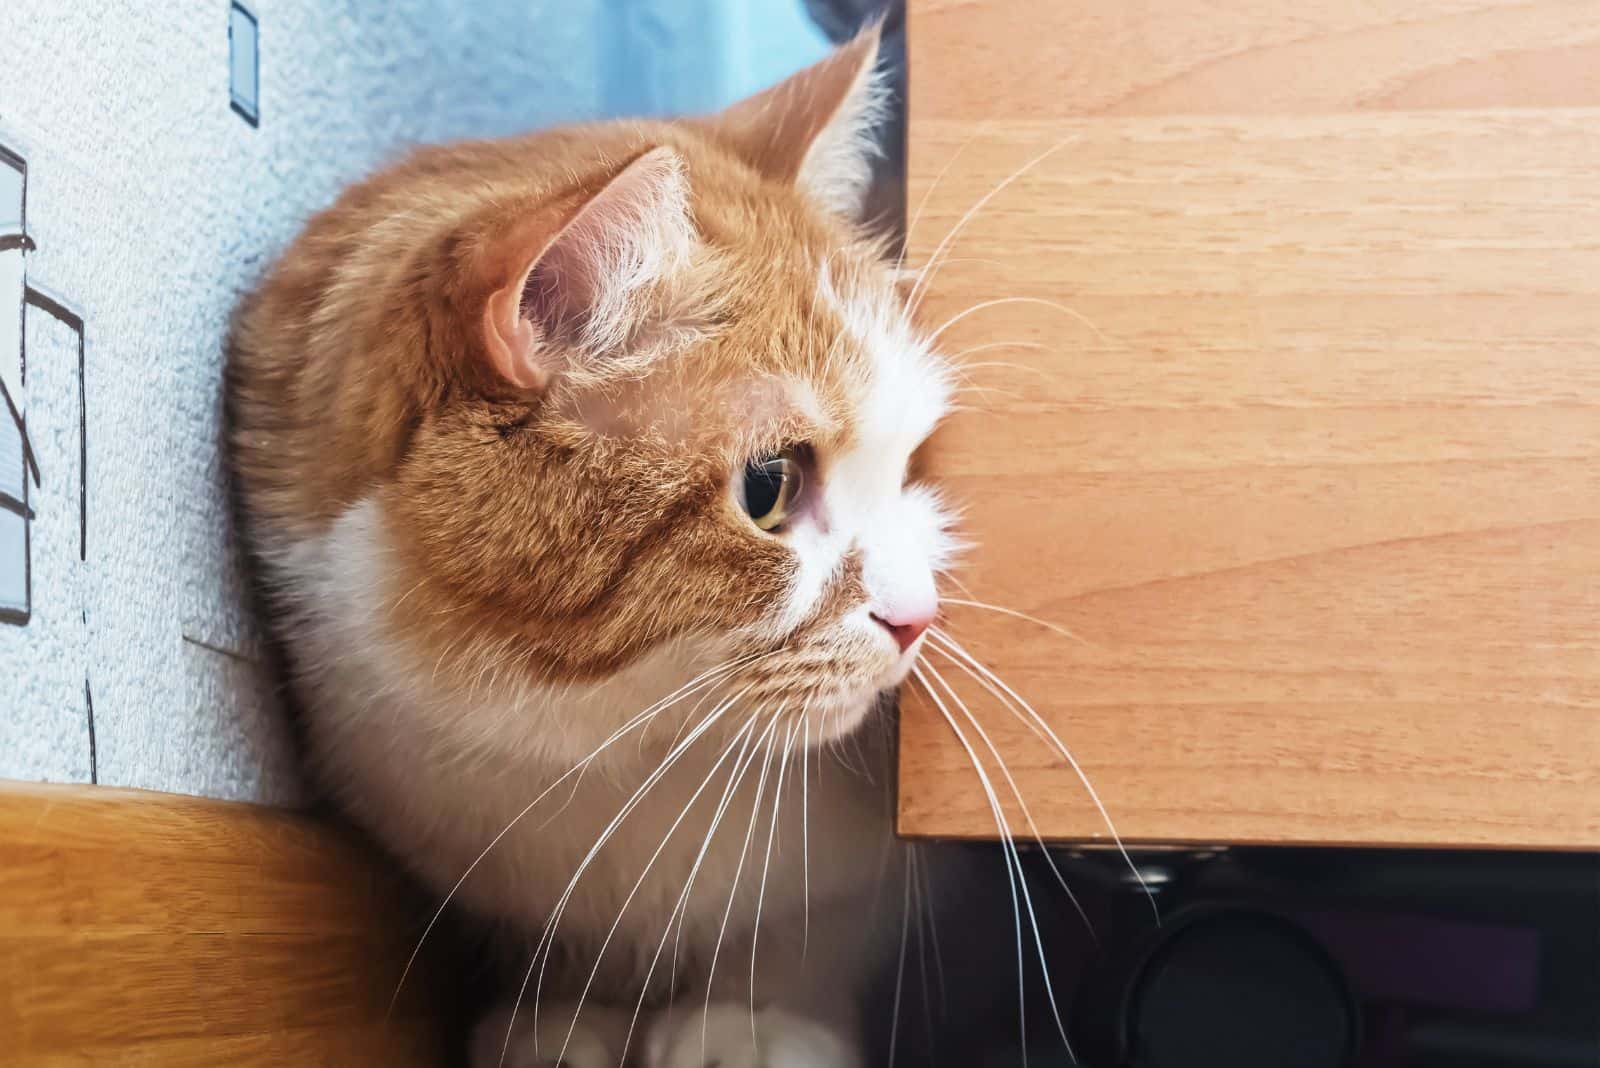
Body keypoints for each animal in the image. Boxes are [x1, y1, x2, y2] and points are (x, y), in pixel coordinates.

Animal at [227, 24, 953, 1068]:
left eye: (912, 462)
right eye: (768, 488)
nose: (919, 617)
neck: (611, 752)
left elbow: (813, 934)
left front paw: (758, 1018)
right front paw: (566, 1019)